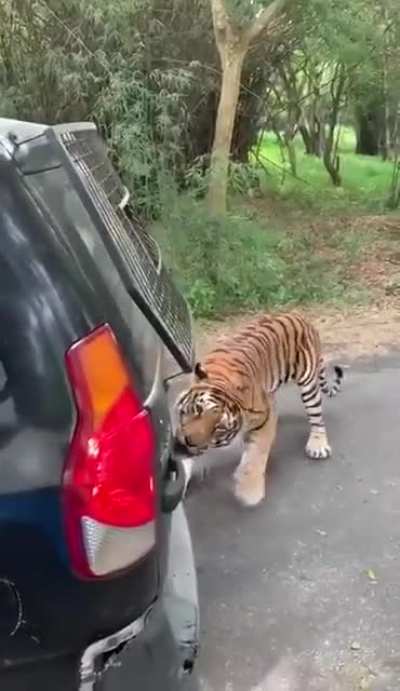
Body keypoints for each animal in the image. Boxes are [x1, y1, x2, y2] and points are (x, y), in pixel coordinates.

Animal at [173, 311, 344, 507]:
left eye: (218, 428)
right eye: (197, 410)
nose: (189, 441)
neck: (221, 379)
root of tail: (298, 315)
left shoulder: (263, 418)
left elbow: (255, 455)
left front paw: (249, 493)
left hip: (308, 383)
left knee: (316, 418)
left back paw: (318, 445)